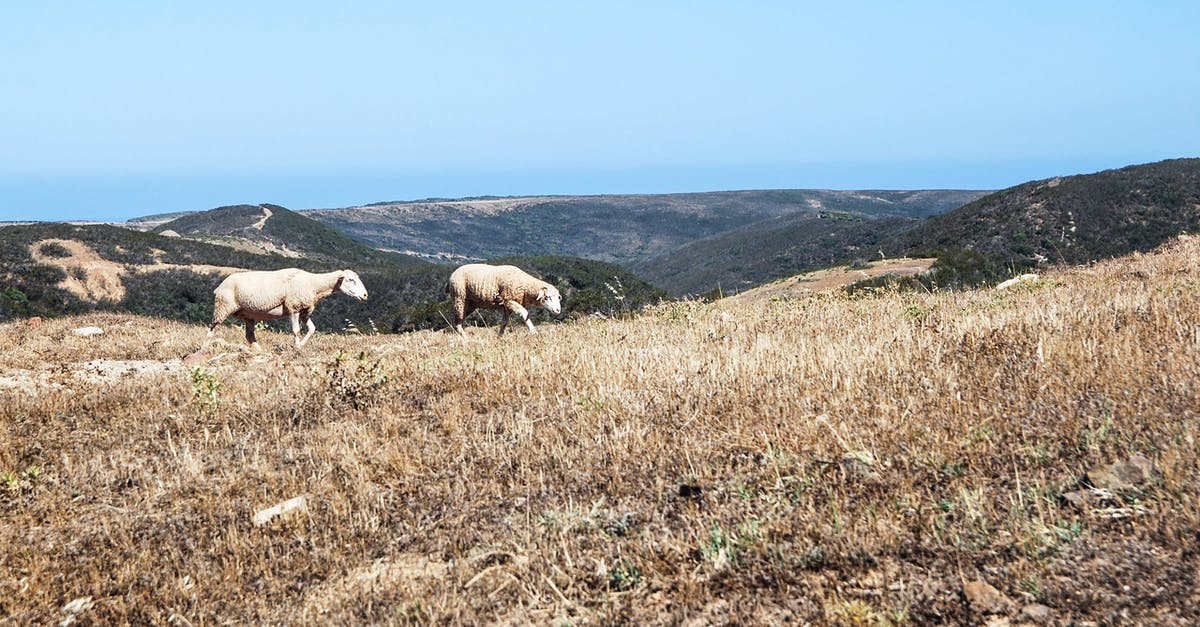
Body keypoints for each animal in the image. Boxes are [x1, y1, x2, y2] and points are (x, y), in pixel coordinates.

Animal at [206, 265, 367, 348]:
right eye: (350, 280)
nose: (365, 295)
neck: (313, 284)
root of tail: (219, 287)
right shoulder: (293, 308)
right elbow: (296, 331)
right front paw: (297, 347)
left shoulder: (304, 311)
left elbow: (312, 329)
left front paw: (301, 345)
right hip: (222, 307)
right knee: (211, 330)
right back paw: (204, 348)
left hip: (248, 315)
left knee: (250, 335)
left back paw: (260, 352)